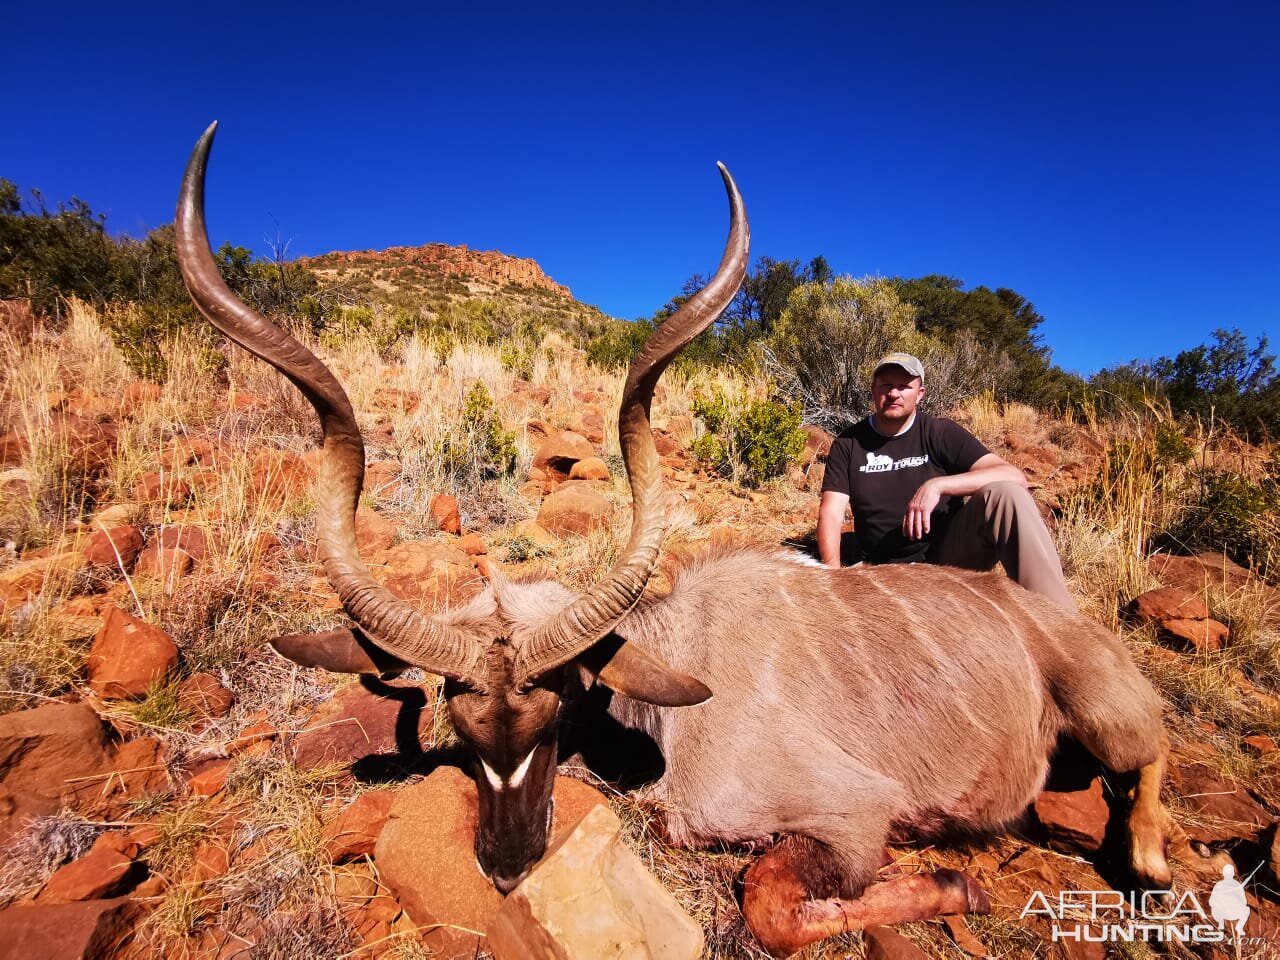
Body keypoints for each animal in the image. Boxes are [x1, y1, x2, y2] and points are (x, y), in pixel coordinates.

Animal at [175, 124, 1172, 957]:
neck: (677, 679)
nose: (506, 863)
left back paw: (1153, 870)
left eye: (557, 713)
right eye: (461, 727)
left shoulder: (853, 818)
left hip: (1109, 714)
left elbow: (771, 906)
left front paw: (960, 885)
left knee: (1148, 755)